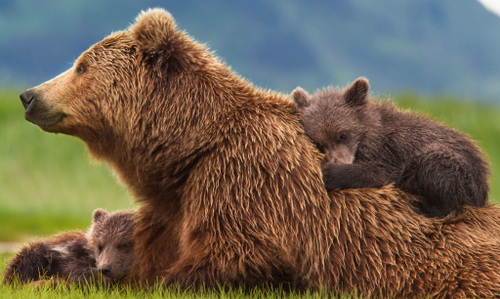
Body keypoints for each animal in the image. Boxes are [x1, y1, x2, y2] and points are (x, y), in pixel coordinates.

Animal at [18, 8, 500, 298]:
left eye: (81, 65)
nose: (28, 95)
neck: (189, 149)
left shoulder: (243, 181)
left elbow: (229, 257)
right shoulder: (175, 205)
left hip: (452, 266)